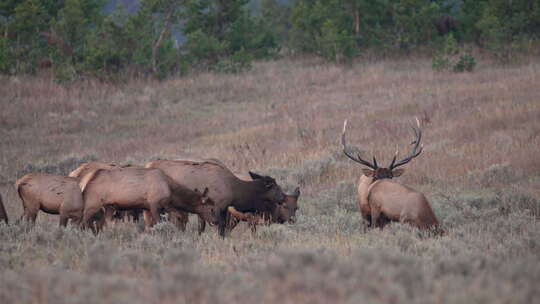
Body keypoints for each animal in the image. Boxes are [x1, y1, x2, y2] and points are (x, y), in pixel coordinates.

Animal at [79, 166, 216, 230]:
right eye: (211, 209)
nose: (215, 221)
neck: (171, 191)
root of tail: (83, 182)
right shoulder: (154, 204)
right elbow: (159, 222)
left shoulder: (151, 207)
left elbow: (149, 225)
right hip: (93, 203)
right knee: (83, 221)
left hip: (109, 207)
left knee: (104, 223)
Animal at [143, 159, 286, 238]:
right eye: (276, 188)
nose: (284, 197)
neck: (235, 190)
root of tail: (147, 165)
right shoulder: (217, 206)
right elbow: (220, 228)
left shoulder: (222, 208)